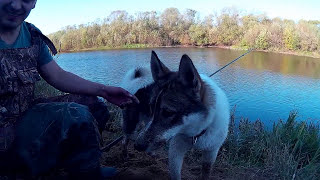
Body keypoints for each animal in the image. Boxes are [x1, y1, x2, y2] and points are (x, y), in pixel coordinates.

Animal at [120, 51, 230, 180]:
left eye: (168, 112)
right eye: (151, 107)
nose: (137, 146)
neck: (197, 133)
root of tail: (136, 82)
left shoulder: (211, 153)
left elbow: (205, 174)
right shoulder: (175, 152)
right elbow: (176, 175)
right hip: (131, 125)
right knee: (124, 139)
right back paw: (124, 155)